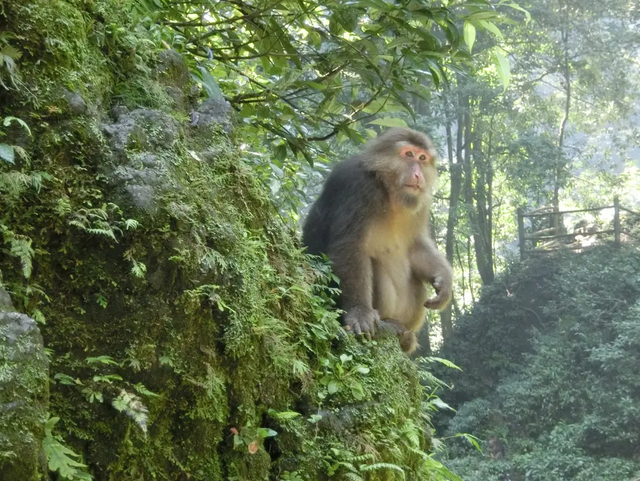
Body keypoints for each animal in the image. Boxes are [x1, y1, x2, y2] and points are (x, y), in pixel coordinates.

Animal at [302, 127, 452, 352]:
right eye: (409, 154)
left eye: (422, 158)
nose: (418, 174)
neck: (388, 189)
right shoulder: (358, 186)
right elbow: (349, 245)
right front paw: (359, 312)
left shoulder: (421, 203)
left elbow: (416, 246)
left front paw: (444, 280)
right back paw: (390, 324)